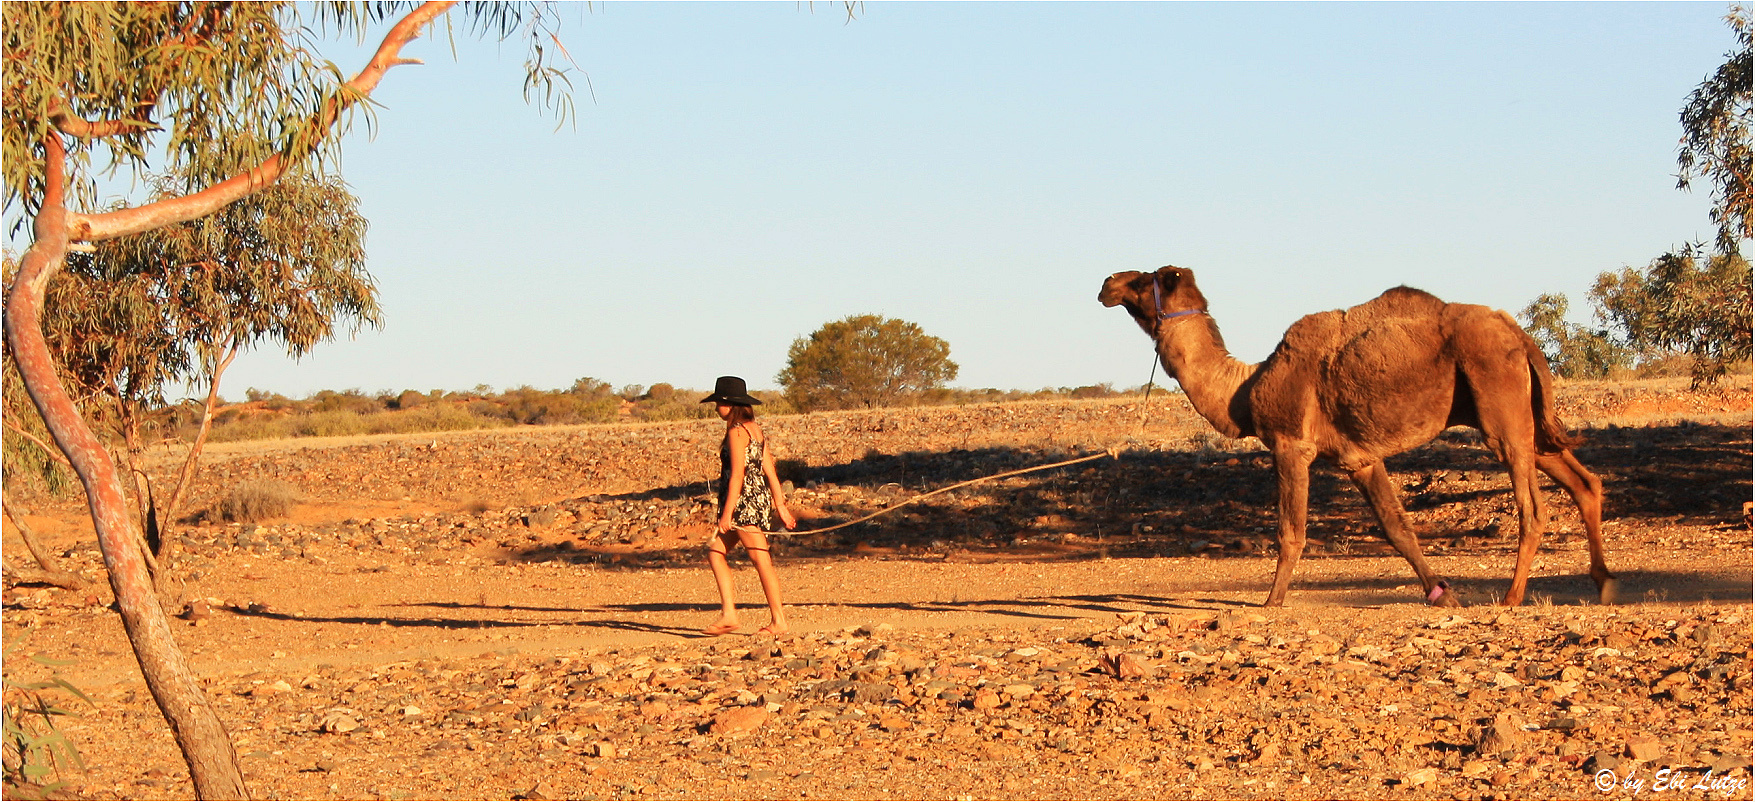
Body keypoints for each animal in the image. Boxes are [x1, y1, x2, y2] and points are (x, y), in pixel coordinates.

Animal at [1095, 264, 1614, 607]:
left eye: (1143, 280)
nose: (1106, 283)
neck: (1245, 388)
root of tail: (1520, 334)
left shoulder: (1290, 446)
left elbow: (1290, 531)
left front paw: (1271, 601)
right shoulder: (1359, 459)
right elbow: (1397, 528)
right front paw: (1441, 594)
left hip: (1498, 401)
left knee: (1534, 506)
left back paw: (1511, 596)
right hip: (1526, 419)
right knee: (1585, 482)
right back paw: (1604, 583)